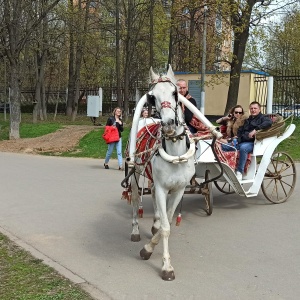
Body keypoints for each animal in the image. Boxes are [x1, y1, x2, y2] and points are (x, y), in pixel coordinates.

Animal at [124, 65, 220, 282]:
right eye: (152, 97)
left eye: (175, 93)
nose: (168, 124)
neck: (176, 153)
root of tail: (147, 117)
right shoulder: (162, 188)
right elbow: (166, 228)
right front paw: (163, 264)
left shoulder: (178, 189)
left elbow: (165, 221)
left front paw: (153, 242)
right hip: (135, 173)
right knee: (135, 198)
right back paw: (135, 230)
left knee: (151, 196)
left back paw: (154, 222)